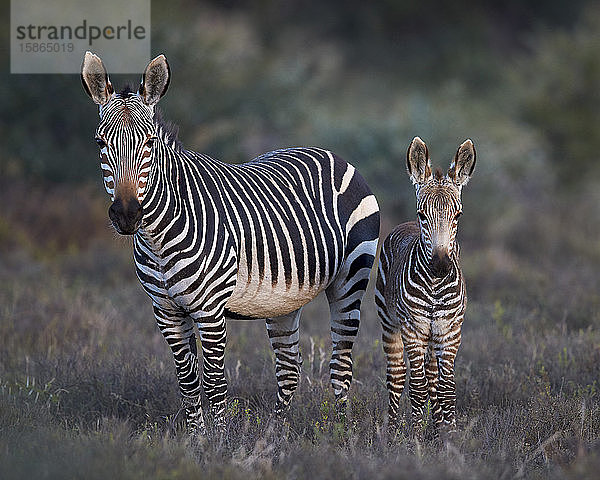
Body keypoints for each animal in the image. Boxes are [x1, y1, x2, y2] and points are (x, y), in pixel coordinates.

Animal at [81, 52, 380, 436]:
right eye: (100, 143)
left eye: (149, 143)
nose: (126, 214)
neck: (158, 237)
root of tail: (333, 154)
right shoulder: (166, 311)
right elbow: (187, 379)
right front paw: (197, 438)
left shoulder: (210, 311)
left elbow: (214, 381)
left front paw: (220, 441)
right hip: (283, 300)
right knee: (289, 368)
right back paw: (273, 435)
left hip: (350, 279)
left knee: (341, 365)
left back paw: (342, 432)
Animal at [378, 137, 476, 434]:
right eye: (422, 214)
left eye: (458, 215)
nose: (441, 266)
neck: (434, 285)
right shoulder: (413, 329)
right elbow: (418, 388)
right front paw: (415, 435)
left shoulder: (451, 330)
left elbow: (446, 387)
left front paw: (449, 432)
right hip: (391, 322)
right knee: (397, 376)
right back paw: (393, 429)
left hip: (434, 334)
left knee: (433, 376)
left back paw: (435, 424)